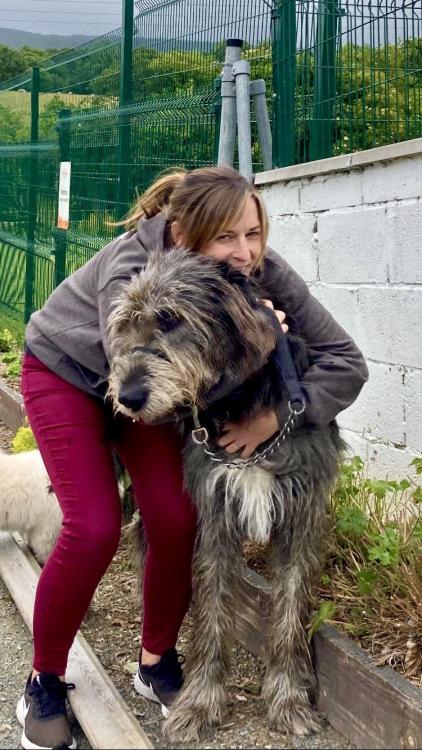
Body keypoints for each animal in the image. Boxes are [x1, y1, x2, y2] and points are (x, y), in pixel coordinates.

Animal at [107, 250, 344, 744]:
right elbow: (212, 610)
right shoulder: (214, 513)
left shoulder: (302, 515)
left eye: (171, 319)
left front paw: (288, 701)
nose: (128, 397)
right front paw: (199, 704)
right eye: (125, 326)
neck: (244, 399)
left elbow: (290, 610)